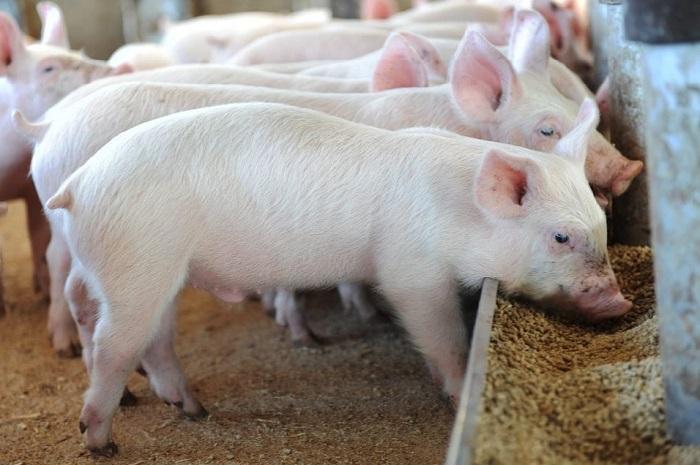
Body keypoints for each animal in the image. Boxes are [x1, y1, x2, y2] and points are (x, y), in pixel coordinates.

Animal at [0, 4, 130, 356]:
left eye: (79, 53)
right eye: (48, 68)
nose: (124, 66)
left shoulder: (33, 192)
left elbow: (37, 237)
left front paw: (44, 292)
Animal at [45, 101, 630, 456]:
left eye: (601, 229)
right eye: (561, 237)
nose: (620, 303)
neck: (460, 211)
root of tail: (77, 184)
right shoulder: (412, 273)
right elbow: (443, 338)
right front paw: (460, 391)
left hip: (159, 270)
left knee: (154, 338)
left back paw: (193, 409)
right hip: (137, 264)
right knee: (114, 345)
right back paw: (101, 442)